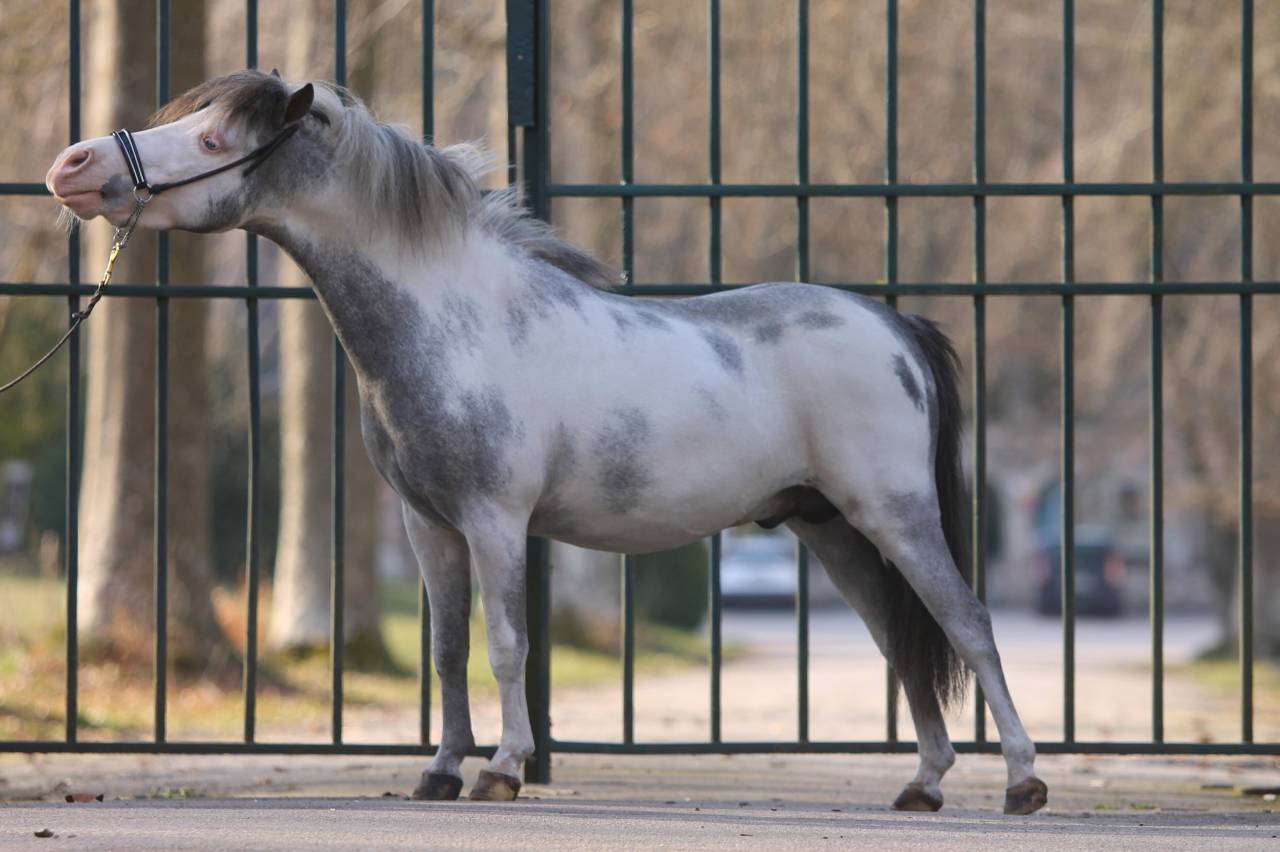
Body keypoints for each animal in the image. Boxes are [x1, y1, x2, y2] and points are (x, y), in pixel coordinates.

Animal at [46, 70, 1047, 814]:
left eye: (215, 140)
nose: (73, 164)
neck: (456, 318)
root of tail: (893, 324)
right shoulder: (428, 526)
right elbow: (446, 650)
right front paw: (439, 772)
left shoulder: (495, 520)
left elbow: (506, 646)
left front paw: (501, 769)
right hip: (833, 531)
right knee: (901, 641)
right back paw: (923, 785)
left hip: (895, 515)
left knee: (968, 624)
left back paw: (1024, 781)